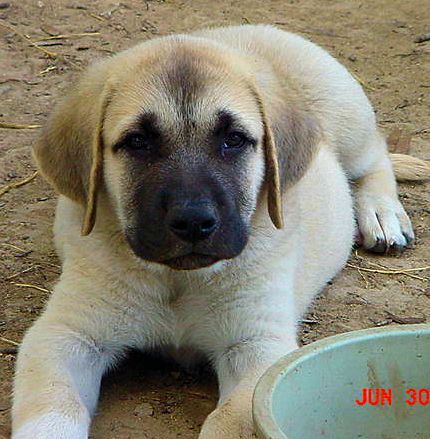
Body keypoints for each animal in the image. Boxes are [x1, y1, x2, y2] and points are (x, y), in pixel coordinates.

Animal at [11, 24, 428, 439]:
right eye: (138, 142)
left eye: (234, 140)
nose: (193, 220)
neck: (177, 281)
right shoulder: (66, 335)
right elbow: (55, 408)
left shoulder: (256, 349)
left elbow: (228, 420)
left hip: (347, 115)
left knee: (376, 157)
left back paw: (382, 214)